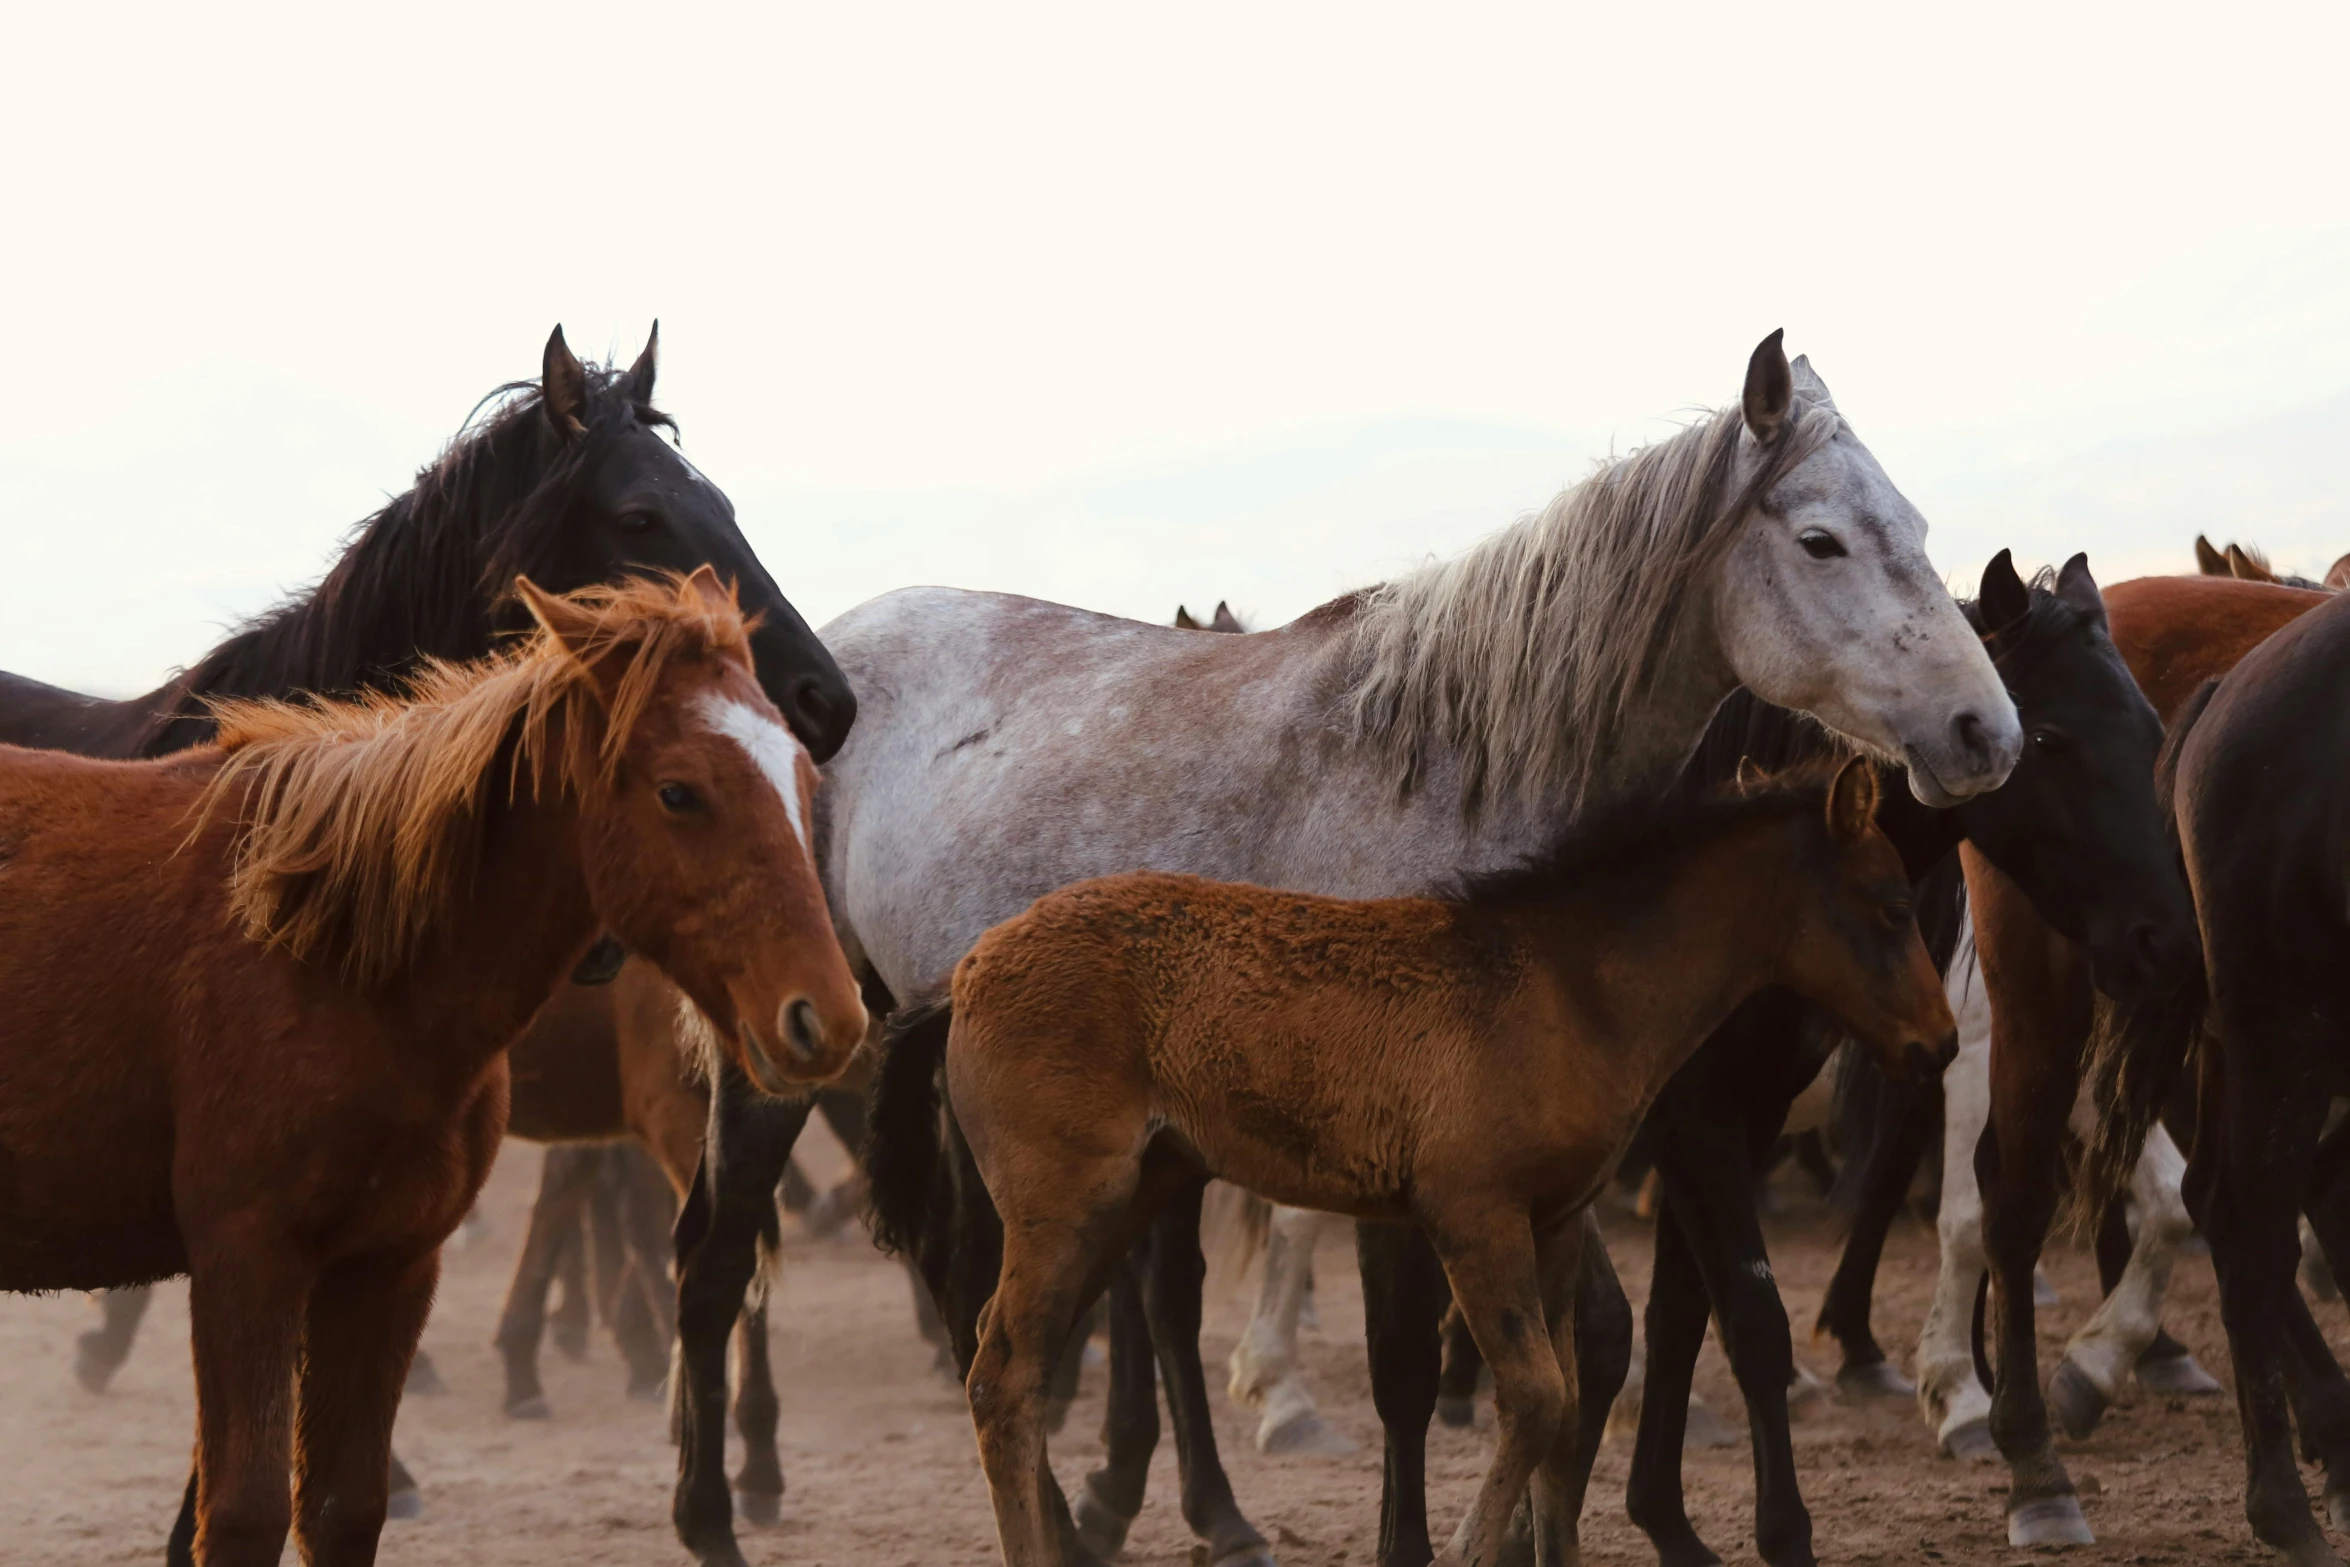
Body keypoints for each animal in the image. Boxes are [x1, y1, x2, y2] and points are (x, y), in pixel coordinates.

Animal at [874, 761, 1955, 1567]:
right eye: (1890, 907)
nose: (1939, 1045)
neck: (1567, 986)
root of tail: (964, 972)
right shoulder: (1470, 1215)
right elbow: (1534, 1396)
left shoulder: (1554, 1220)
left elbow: (1569, 1402)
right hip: (1068, 1204)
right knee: (1002, 1373)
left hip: (1129, 1196)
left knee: (1010, 1361)